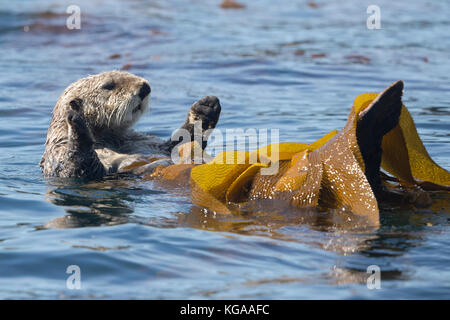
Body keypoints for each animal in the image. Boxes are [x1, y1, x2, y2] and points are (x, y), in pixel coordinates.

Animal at [41, 70, 221, 179]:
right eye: (108, 86)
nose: (145, 87)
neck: (109, 137)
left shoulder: (142, 140)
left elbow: (177, 145)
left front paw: (205, 108)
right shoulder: (58, 153)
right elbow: (74, 169)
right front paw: (77, 121)